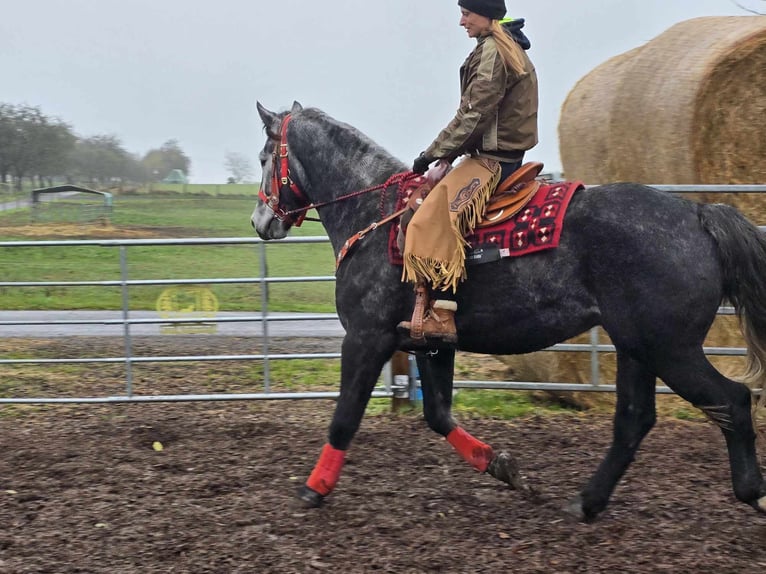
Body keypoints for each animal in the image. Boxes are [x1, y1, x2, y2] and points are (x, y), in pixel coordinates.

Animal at [252, 101, 766, 524]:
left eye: (262, 158)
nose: (261, 222)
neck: (374, 218)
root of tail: (699, 216)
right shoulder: (430, 344)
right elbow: (438, 415)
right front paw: (502, 466)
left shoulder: (365, 338)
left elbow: (345, 417)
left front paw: (314, 489)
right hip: (636, 348)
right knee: (634, 420)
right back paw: (586, 502)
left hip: (669, 349)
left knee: (733, 400)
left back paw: (752, 492)